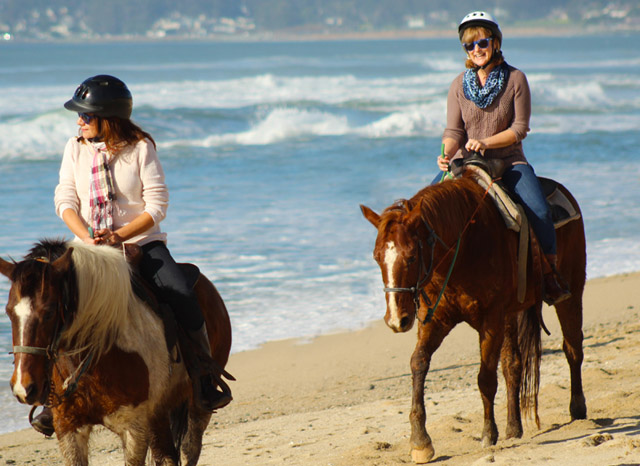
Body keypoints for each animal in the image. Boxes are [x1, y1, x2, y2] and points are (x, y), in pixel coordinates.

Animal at [0, 240, 234, 466]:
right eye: (9, 312)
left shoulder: (134, 427)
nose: (24, 387)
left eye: (49, 312)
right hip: (159, 413)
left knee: (188, 450)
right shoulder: (68, 427)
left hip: (195, 407)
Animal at [360, 173, 584, 464]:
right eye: (377, 258)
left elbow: (485, 378)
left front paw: (488, 433)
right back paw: (514, 427)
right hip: (510, 315)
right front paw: (420, 441)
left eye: (411, 256)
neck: (463, 247)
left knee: (572, 348)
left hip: (572, 291)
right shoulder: (436, 320)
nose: (397, 320)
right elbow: (418, 363)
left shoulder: (490, 321)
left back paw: (578, 408)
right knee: (513, 364)